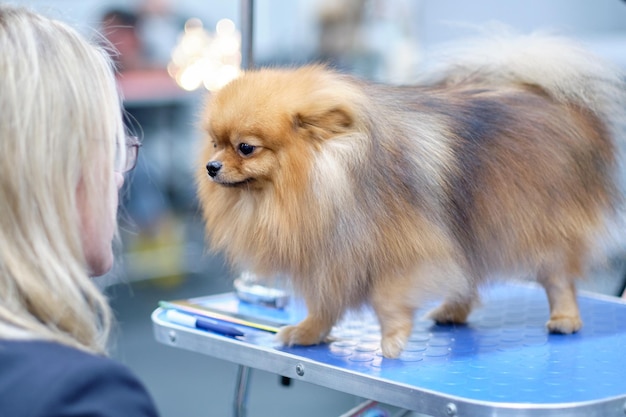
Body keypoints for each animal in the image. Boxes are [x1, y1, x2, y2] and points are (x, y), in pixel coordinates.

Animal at [196, 33, 624, 358]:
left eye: (245, 148)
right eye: (215, 143)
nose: (211, 167)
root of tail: (547, 95)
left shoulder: (409, 248)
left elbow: (386, 298)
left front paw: (393, 339)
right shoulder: (332, 256)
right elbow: (325, 303)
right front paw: (308, 333)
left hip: (534, 224)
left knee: (557, 277)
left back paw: (565, 318)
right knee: (468, 276)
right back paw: (453, 310)